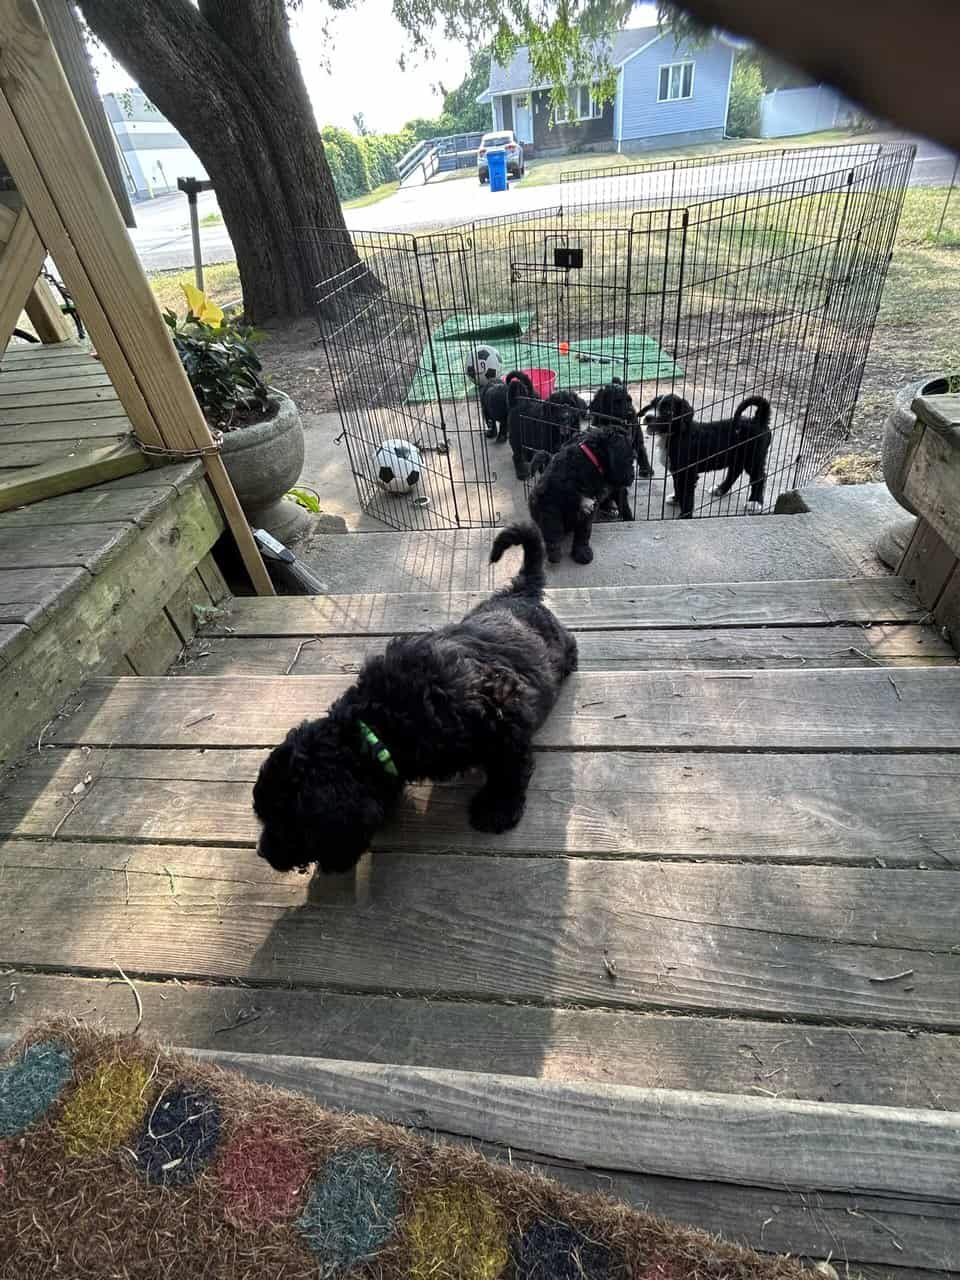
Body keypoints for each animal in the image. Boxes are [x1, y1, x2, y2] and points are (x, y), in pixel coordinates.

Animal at [253, 523, 577, 875]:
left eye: (285, 819)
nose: (262, 853)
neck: (382, 720)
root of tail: (518, 593)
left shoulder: (503, 713)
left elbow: (508, 767)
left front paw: (496, 809)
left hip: (556, 643)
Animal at [528, 425, 636, 565]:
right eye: (630, 459)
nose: (633, 476)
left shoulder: (590, 507)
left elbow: (584, 531)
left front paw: (582, 552)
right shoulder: (549, 502)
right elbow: (553, 528)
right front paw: (554, 552)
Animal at [642, 393, 772, 518]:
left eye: (667, 411)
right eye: (652, 405)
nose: (648, 417)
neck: (676, 433)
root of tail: (758, 420)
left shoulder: (688, 473)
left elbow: (687, 496)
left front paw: (685, 515)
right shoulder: (677, 470)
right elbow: (677, 486)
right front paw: (676, 499)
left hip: (753, 457)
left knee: (759, 477)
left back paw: (755, 502)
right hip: (738, 456)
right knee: (735, 471)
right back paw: (720, 489)